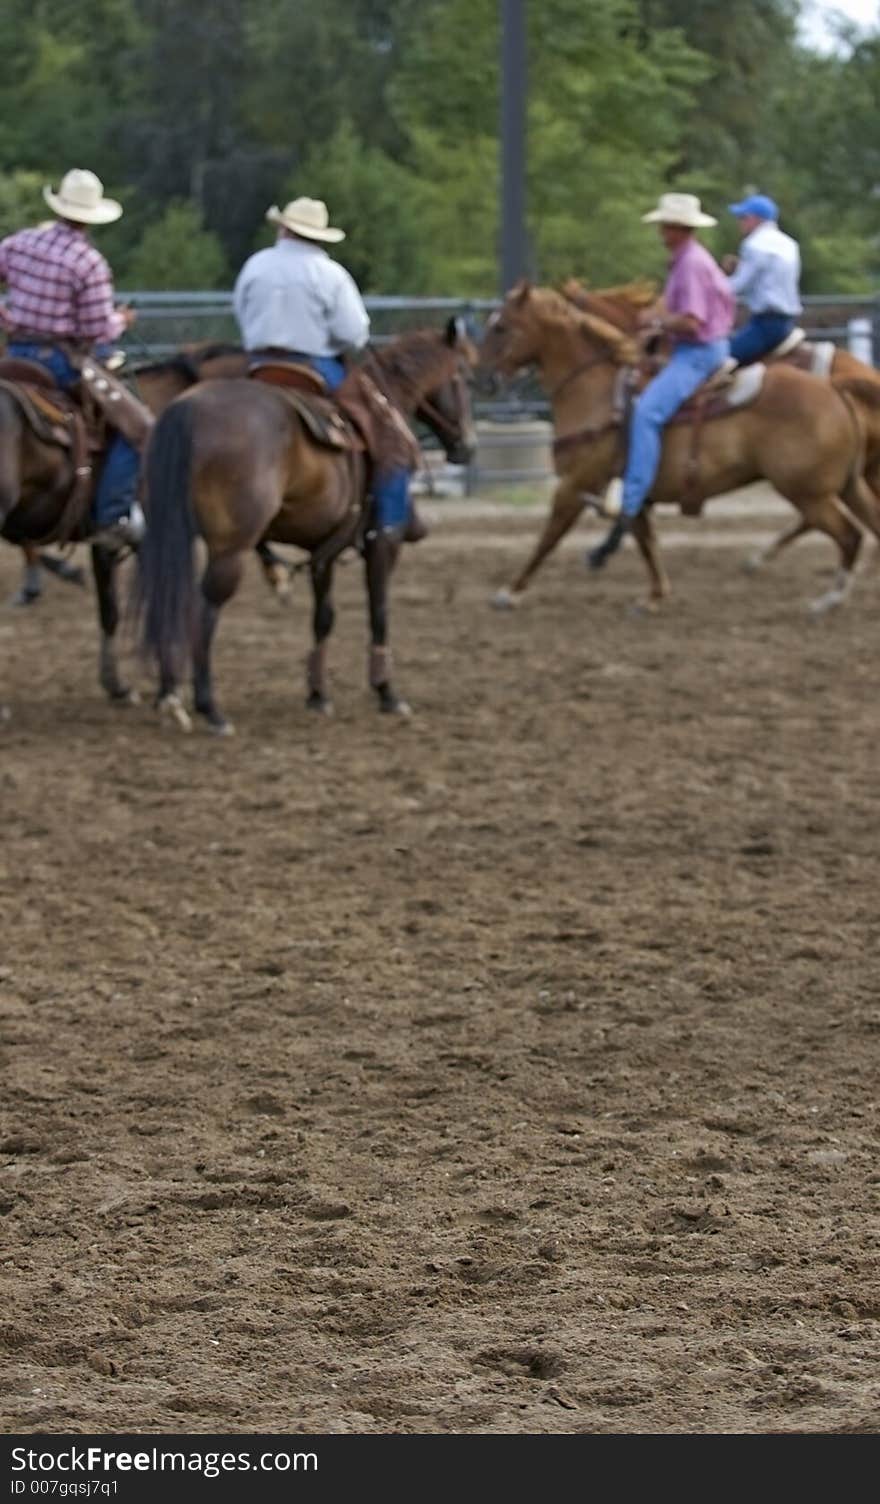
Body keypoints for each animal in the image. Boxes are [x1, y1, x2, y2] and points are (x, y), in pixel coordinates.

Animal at [134, 323, 478, 733]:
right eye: (462, 377)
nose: (468, 447)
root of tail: (186, 408)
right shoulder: (383, 542)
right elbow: (379, 610)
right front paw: (387, 692)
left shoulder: (323, 550)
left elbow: (323, 617)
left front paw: (318, 695)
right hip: (230, 548)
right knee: (203, 608)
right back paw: (210, 708)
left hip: (171, 536)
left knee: (170, 598)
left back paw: (168, 696)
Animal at [478, 282, 878, 610]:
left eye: (500, 326)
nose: (482, 379)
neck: (596, 393)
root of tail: (837, 387)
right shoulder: (632, 488)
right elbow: (645, 539)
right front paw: (655, 594)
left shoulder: (575, 484)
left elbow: (548, 537)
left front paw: (510, 591)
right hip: (848, 484)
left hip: (808, 492)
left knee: (849, 535)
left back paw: (826, 597)